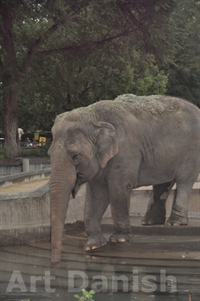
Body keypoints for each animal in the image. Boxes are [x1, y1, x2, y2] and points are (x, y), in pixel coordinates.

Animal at [48, 95, 200, 262]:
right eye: (49, 154)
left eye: (75, 156)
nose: (56, 263)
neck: (94, 118)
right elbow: (96, 196)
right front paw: (93, 246)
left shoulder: (125, 152)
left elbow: (118, 188)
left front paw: (120, 240)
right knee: (163, 183)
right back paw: (149, 222)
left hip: (192, 150)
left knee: (184, 180)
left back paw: (175, 223)